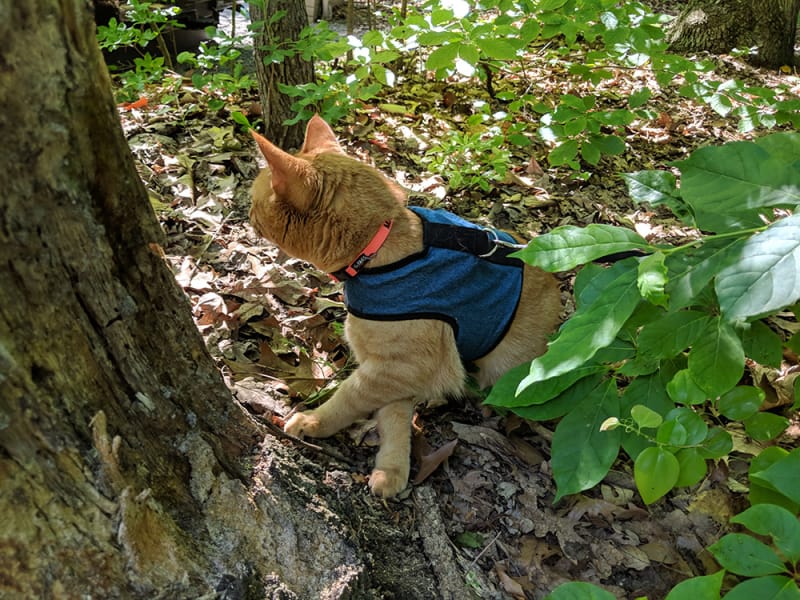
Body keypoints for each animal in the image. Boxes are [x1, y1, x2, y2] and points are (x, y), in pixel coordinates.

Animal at [250, 116, 564, 496]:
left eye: (254, 201)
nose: (245, 213)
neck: (378, 249)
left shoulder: (399, 365)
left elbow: (350, 396)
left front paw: (314, 420)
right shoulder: (393, 369)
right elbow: (393, 416)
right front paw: (391, 468)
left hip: (509, 369)